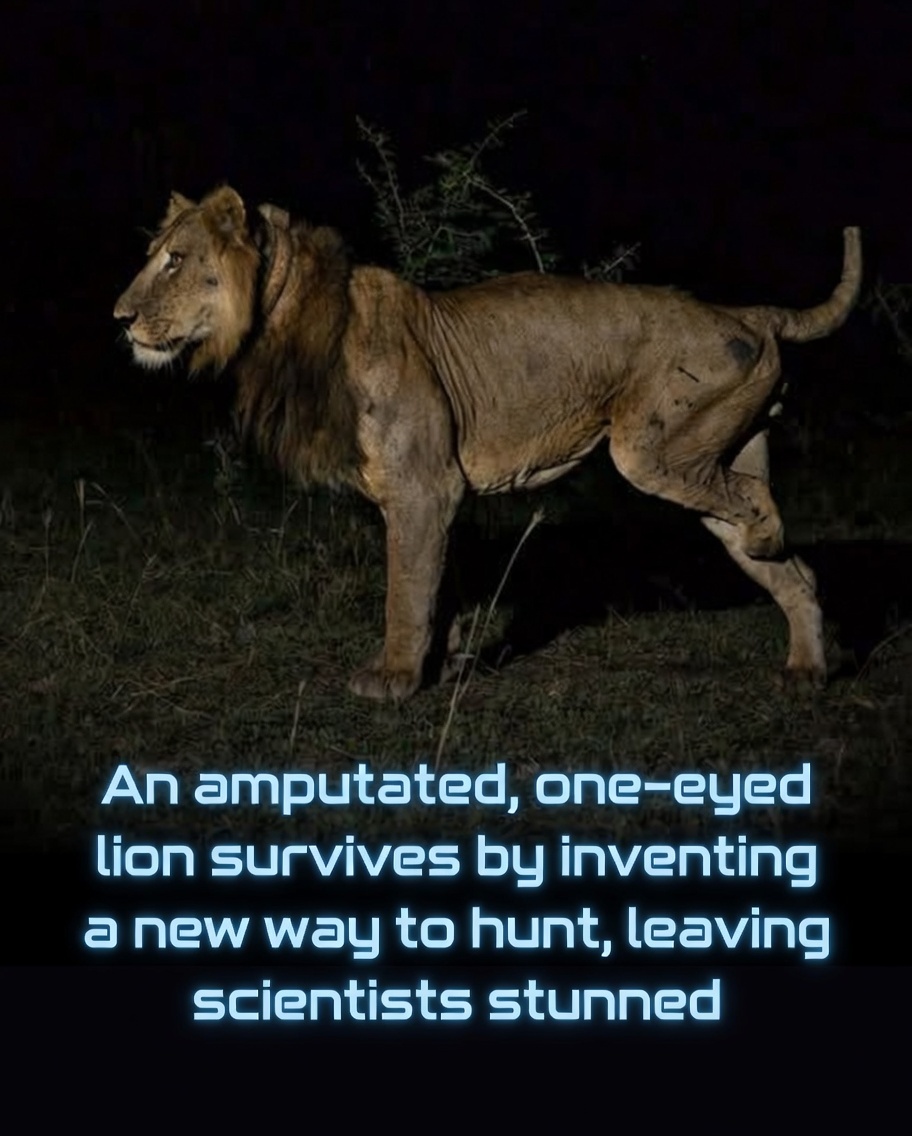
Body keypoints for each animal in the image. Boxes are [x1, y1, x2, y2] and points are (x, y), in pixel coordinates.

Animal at [114, 186, 862, 700]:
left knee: (756, 506)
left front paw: (393, 678)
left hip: (653, 450)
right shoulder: (432, 495)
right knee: (794, 569)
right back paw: (806, 669)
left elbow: (406, 591)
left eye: (175, 261)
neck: (284, 323)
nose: (118, 318)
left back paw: (770, 541)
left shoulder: (423, 487)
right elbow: (435, 585)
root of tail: (744, 312)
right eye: (154, 258)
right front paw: (440, 667)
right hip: (712, 453)